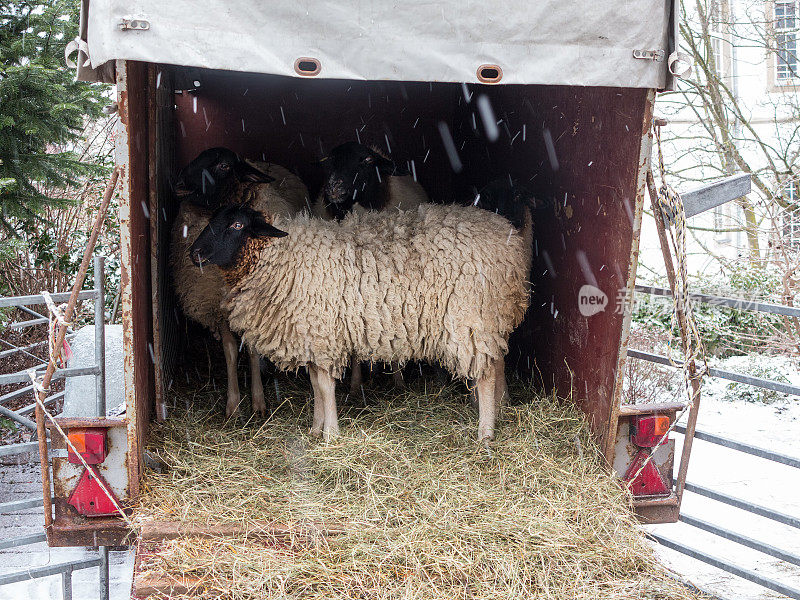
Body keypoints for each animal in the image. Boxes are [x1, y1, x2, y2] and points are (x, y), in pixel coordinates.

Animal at [170, 146, 308, 418]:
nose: (179, 183)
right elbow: (230, 350)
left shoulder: (253, 306)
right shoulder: (217, 305)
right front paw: (233, 404)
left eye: (223, 165)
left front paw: (258, 402)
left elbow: (252, 351)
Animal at [191, 199, 536, 442]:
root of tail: (511, 239)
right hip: (490, 318)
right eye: (210, 221)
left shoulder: (322, 333)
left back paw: (485, 432)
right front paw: (316, 428)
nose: (193, 252)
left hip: (471, 317)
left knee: (486, 373)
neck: (278, 255)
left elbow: (325, 386)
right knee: (497, 361)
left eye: (237, 224)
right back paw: (500, 408)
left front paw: (331, 433)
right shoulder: (313, 335)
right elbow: (315, 383)